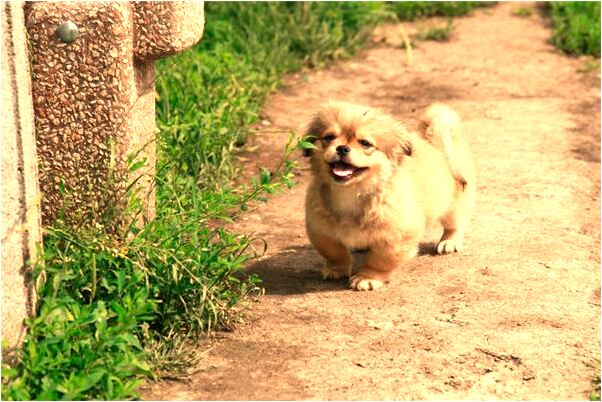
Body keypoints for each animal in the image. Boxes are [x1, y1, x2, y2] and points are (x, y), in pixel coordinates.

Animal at [304, 100, 474, 288]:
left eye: (365, 143)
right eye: (328, 138)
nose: (342, 148)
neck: (352, 194)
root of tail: (429, 138)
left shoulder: (395, 238)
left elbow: (379, 261)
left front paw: (367, 278)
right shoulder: (321, 230)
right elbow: (335, 253)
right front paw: (336, 270)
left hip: (453, 205)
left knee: (454, 225)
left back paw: (448, 242)